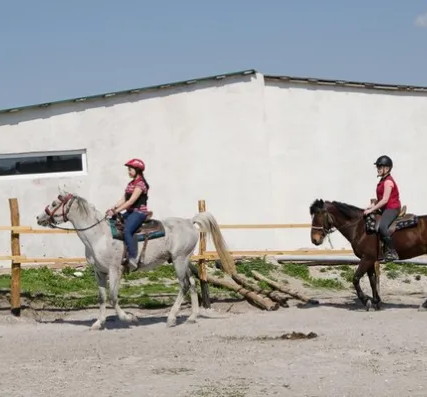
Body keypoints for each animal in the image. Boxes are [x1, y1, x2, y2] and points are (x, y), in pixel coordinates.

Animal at [36, 191, 237, 328]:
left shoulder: (114, 270)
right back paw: (192, 317)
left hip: (179, 260)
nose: (39, 217)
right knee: (193, 284)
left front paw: (129, 318)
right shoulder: (99, 272)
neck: (99, 235)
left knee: (184, 286)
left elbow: (113, 298)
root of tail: (189, 221)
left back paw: (171, 318)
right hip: (184, 260)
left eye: (54, 203)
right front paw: (98, 323)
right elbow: (102, 298)